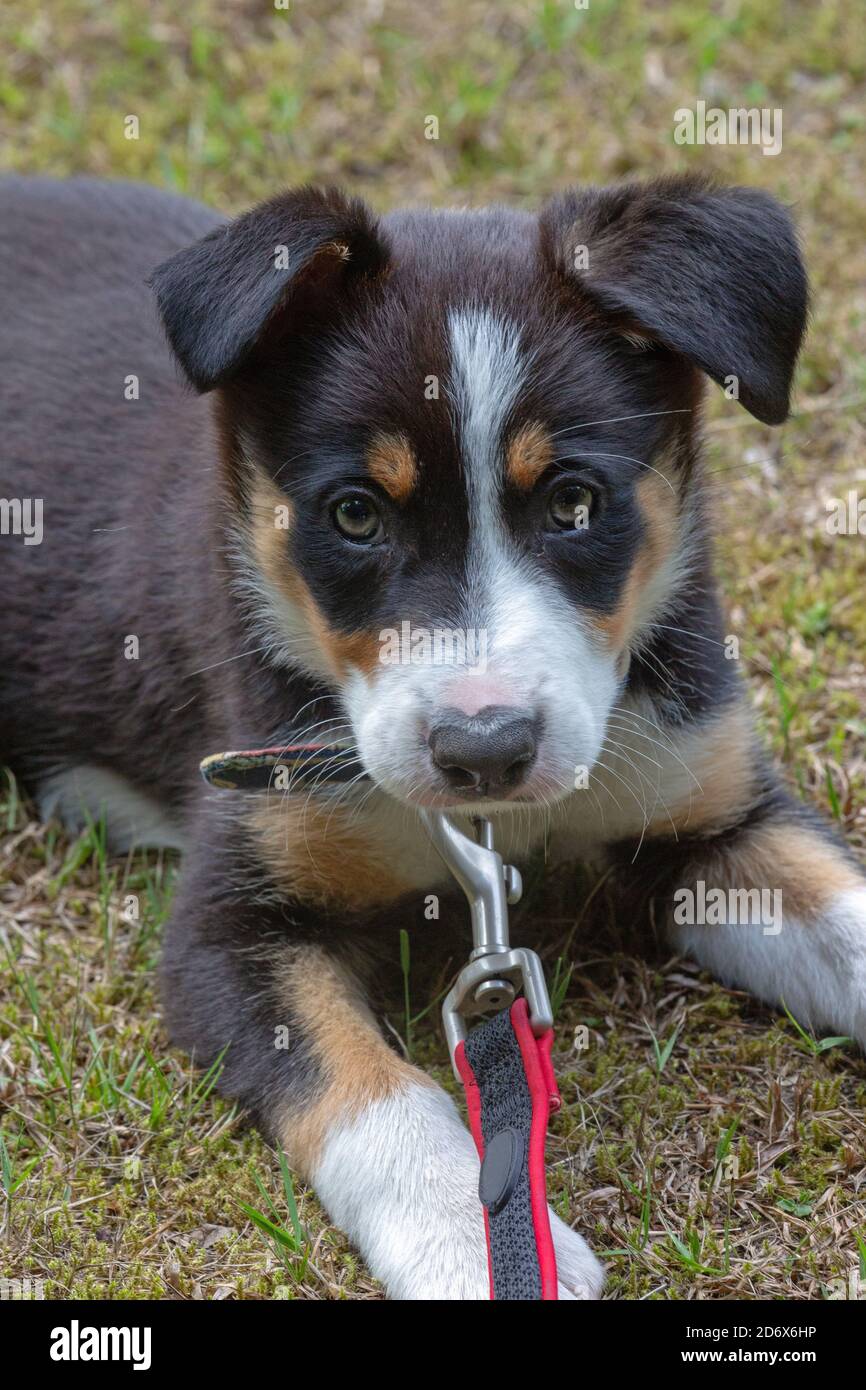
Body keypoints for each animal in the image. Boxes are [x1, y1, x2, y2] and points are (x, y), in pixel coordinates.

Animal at [1, 176, 866, 1301]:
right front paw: (471, 1239)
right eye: (356, 515)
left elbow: (844, 919)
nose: (483, 751)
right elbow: (371, 1090)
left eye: (574, 503)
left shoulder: (713, 810)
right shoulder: (230, 927)